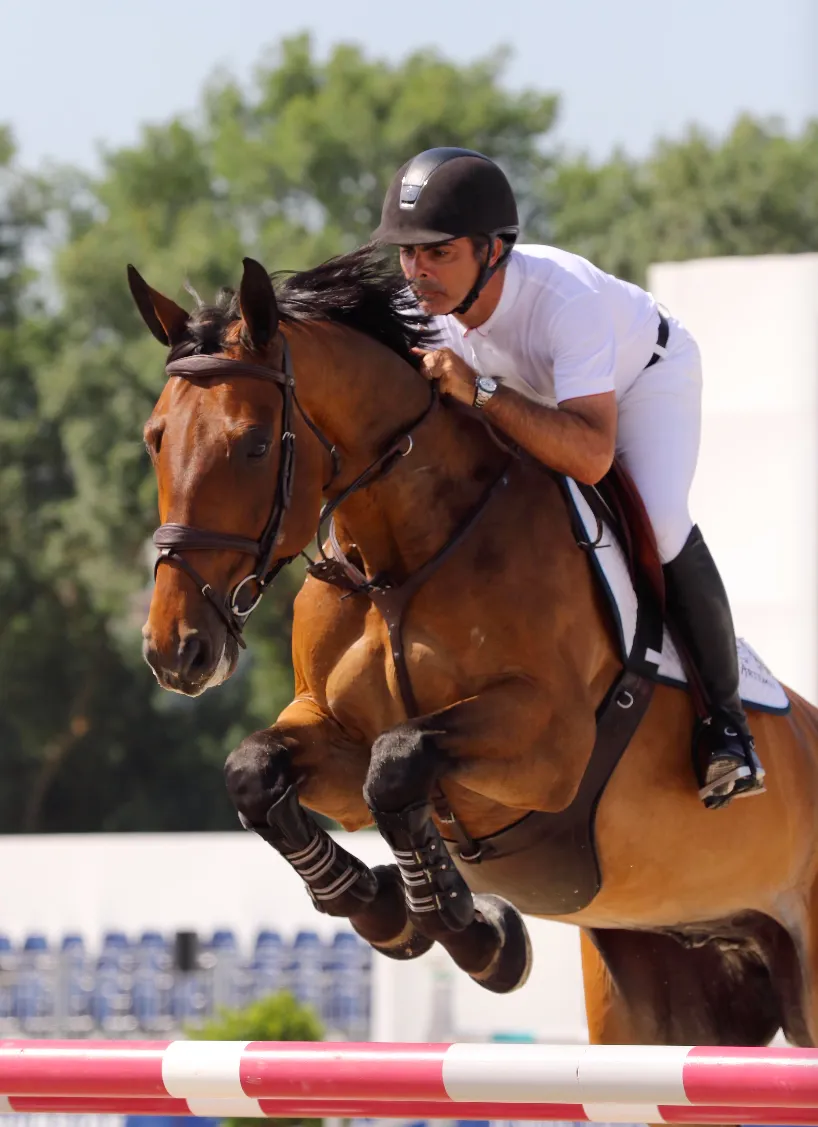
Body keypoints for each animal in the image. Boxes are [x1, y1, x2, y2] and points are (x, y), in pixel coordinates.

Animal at [129, 248, 818, 1072]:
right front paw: (387, 910)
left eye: (254, 444)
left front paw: (475, 935)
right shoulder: (331, 733)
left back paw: (727, 755)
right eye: (154, 438)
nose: (177, 650)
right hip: (660, 989)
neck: (400, 560)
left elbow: (398, 761)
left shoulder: (550, 747)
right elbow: (259, 771)